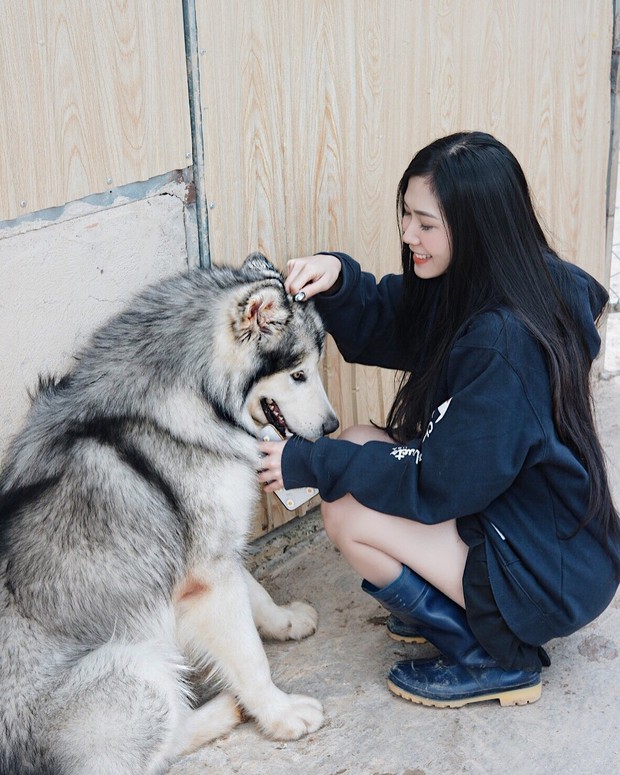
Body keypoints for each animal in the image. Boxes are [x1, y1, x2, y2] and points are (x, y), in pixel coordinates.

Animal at [0, 256, 340, 775]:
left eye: (313, 369)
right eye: (298, 374)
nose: (332, 427)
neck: (196, 400)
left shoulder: (213, 547)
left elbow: (255, 594)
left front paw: (283, 622)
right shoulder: (207, 575)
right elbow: (250, 657)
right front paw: (279, 714)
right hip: (137, 670)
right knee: (159, 746)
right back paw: (222, 712)